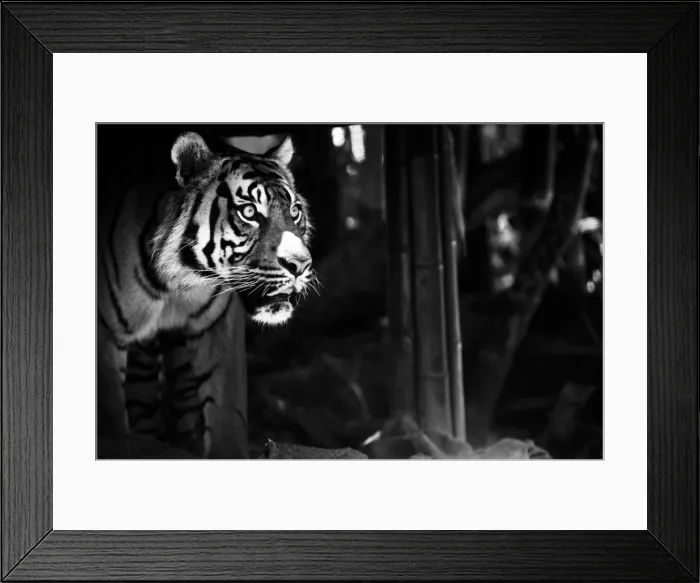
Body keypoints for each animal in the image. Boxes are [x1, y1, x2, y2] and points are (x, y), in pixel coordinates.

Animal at [97, 131, 315, 458]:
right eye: (249, 212)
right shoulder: (104, 333)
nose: (301, 265)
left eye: (294, 211)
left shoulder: (218, 327)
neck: (177, 283)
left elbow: (227, 410)